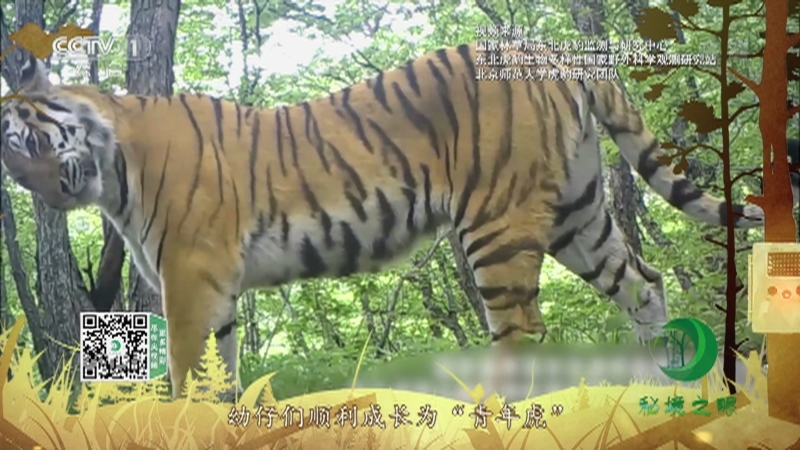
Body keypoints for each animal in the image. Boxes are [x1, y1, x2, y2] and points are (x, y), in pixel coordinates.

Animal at [0, 46, 771, 401]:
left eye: (20, 139)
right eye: (9, 163)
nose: (39, 191)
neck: (111, 164)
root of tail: (552, 52)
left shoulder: (190, 279)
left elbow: (190, 373)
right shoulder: (214, 292)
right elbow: (225, 372)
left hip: (497, 225)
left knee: (523, 330)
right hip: (577, 215)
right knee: (643, 281)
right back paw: (673, 386)